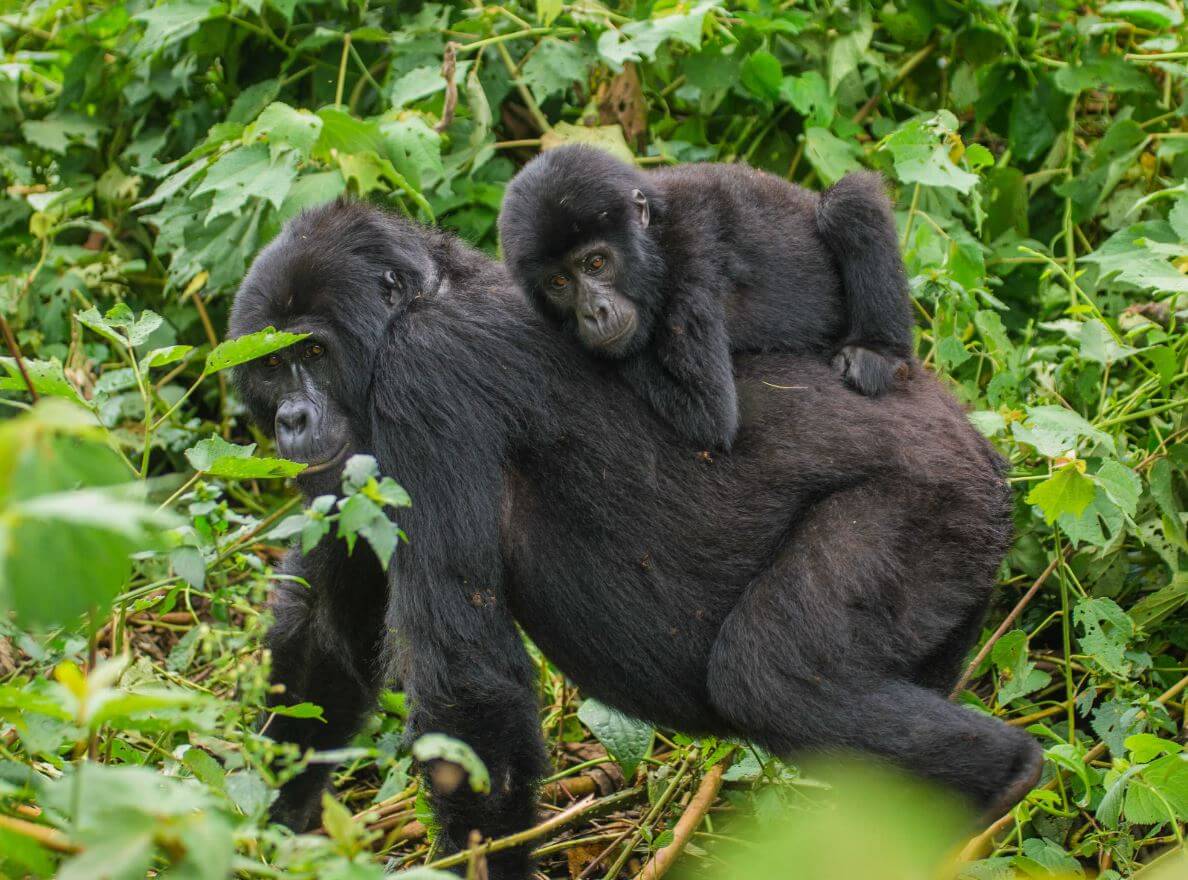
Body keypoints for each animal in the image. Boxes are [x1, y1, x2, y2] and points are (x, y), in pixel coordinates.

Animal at [229, 200, 1040, 874]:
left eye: (312, 353)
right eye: (271, 365)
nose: (291, 421)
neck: (422, 300)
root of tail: (981, 443)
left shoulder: (424, 377)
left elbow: (466, 690)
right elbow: (324, 639)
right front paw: (265, 835)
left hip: (935, 498)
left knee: (773, 675)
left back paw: (1002, 780)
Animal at [496, 146, 912, 446]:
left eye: (595, 262)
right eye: (559, 282)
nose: (594, 312)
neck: (655, 238)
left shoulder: (690, 265)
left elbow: (707, 413)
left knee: (850, 203)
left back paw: (877, 352)